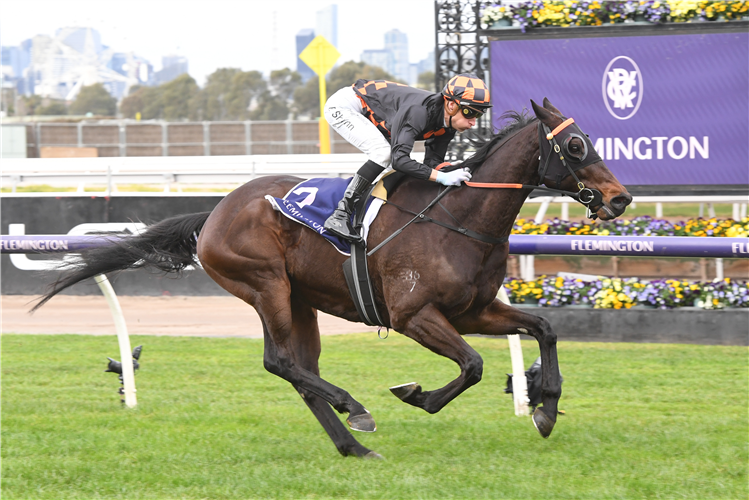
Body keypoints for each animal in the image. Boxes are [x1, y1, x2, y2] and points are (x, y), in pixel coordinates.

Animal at [35, 99, 632, 458]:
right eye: (575, 145)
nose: (621, 197)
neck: (457, 219)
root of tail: (216, 211)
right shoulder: (414, 315)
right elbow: (473, 366)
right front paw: (416, 394)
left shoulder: (474, 310)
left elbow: (543, 330)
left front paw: (545, 409)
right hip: (266, 286)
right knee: (280, 363)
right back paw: (357, 411)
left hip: (299, 300)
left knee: (301, 372)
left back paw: (353, 445)